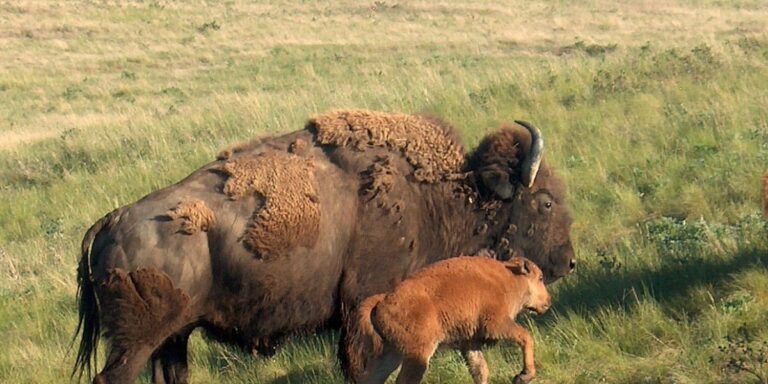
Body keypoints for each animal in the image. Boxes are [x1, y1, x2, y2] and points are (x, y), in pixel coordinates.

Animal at [354, 255, 552, 384]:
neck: (510, 278)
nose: (548, 302)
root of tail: (383, 300)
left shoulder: (469, 342)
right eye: (541, 278)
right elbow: (526, 337)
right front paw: (523, 376)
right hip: (418, 354)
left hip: (392, 353)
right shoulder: (496, 324)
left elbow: (480, 369)